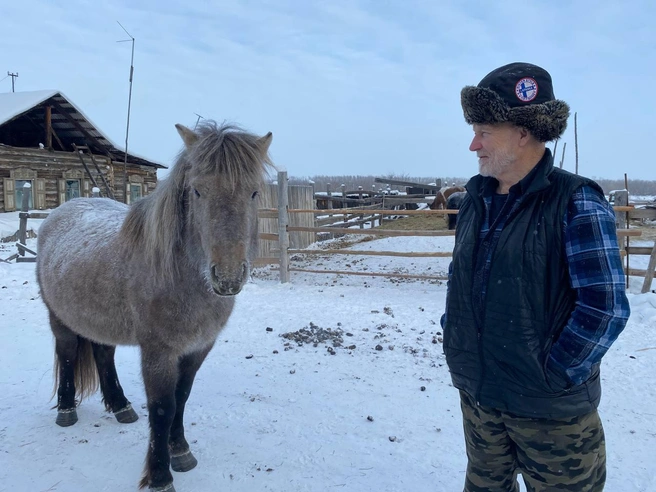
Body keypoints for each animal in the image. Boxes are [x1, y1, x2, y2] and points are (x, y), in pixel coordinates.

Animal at [37, 121, 272, 490]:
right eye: (197, 191)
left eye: (253, 192)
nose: (228, 277)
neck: (182, 278)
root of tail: (58, 213)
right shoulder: (158, 351)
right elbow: (163, 407)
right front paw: (161, 474)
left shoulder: (197, 348)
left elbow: (182, 397)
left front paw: (181, 452)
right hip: (58, 316)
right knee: (68, 353)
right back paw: (66, 411)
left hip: (101, 319)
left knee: (103, 353)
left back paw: (121, 406)